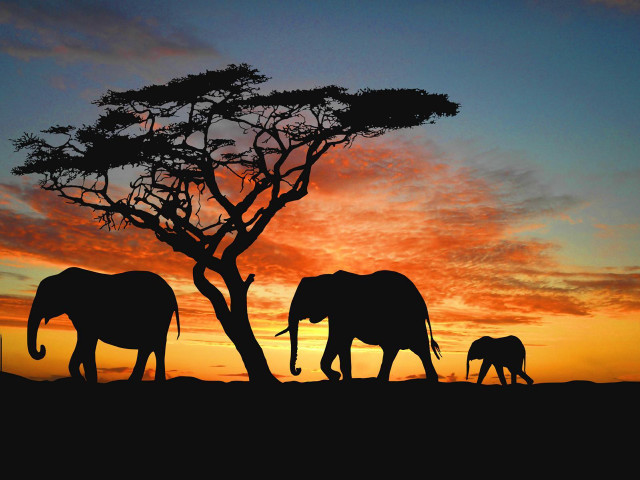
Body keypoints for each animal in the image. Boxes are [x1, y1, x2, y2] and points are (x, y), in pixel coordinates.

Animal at [27, 267, 180, 382]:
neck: (60, 277)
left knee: (155, 346)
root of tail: (172, 293)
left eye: (45, 297)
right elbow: (85, 344)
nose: (42, 348)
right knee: (150, 347)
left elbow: (86, 342)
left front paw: (86, 380)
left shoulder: (87, 315)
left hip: (159, 317)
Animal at [275, 270, 441, 382]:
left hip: (409, 320)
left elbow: (338, 339)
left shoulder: (341, 312)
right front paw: (339, 377)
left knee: (417, 348)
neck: (326, 278)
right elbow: (339, 343)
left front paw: (338, 377)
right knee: (400, 350)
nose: (298, 369)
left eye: (304, 299)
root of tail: (422, 302)